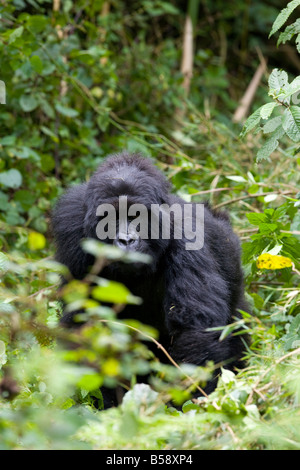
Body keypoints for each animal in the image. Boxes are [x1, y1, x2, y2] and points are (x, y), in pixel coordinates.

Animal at [52, 151, 250, 404]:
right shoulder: (72, 228)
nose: (126, 240)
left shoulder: (188, 235)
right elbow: (84, 322)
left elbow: (194, 331)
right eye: (110, 217)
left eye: (136, 216)